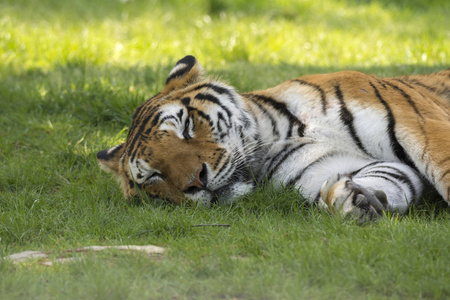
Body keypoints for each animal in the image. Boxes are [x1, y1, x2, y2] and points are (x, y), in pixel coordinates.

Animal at [96, 55, 450, 220]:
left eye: (185, 126)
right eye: (153, 176)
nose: (197, 181)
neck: (278, 135)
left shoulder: (423, 125)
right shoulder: (333, 166)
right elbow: (387, 177)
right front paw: (350, 200)